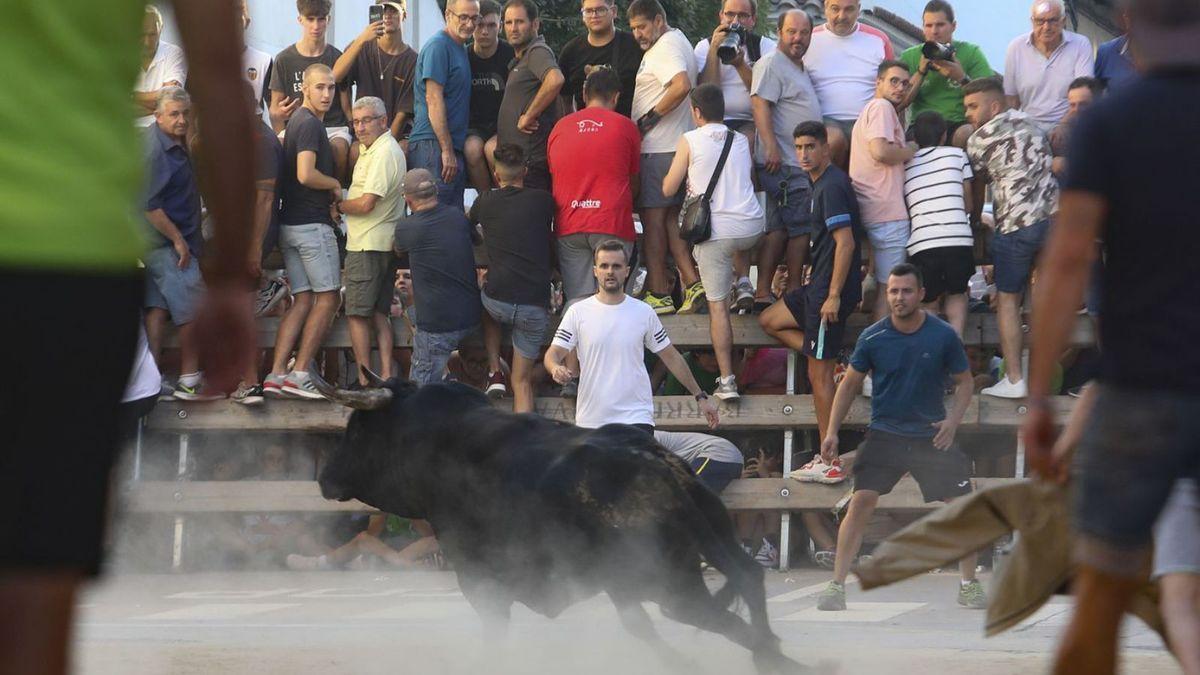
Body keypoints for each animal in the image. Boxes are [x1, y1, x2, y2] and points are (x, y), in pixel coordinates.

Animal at [314, 374, 811, 667]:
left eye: (357, 430)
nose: (323, 475)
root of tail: (659, 468)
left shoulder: (480, 581)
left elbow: (495, 633)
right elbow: (637, 625)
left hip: (668, 583)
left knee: (716, 617)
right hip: (704, 542)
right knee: (747, 578)